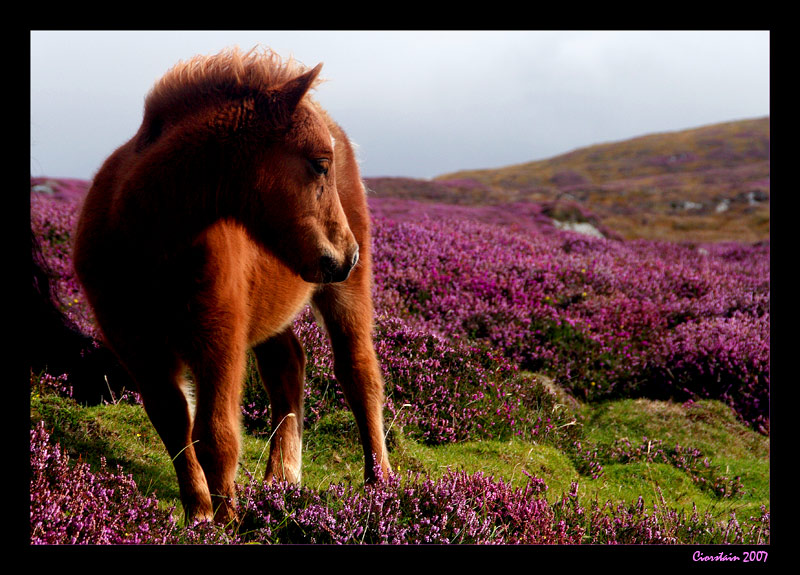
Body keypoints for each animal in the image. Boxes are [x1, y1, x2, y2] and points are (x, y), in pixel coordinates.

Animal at [73, 46, 392, 520]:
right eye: (319, 165)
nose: (346, 255)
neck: (146, 240)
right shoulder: (137, 346)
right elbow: (173, 422)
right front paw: (200, 512)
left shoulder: (218, 340)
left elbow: (215, 435)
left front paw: (227, 520)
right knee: (288, 365)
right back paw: (282, 478)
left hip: (344, 293)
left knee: (359, 373)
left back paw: (380, 483)